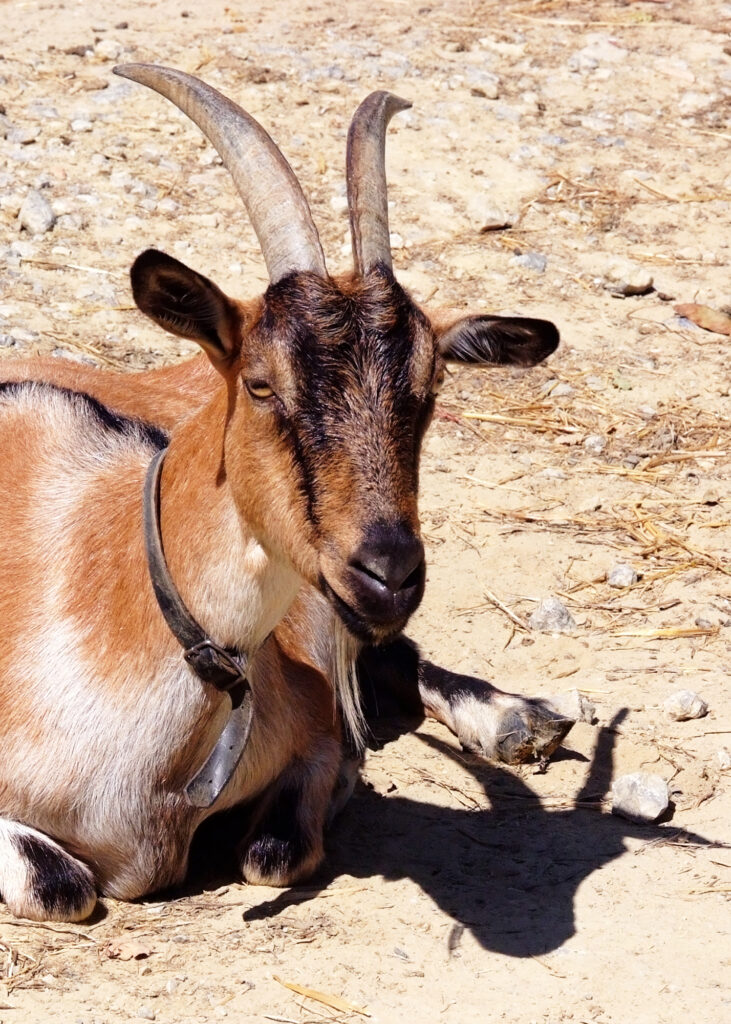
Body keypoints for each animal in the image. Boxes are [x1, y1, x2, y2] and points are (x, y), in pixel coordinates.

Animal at [0, 68, 569, 925]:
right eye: (262, 384)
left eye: (432, 387)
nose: (388, 572)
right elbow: (60, 885)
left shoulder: (313, 724)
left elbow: (275, 851)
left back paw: (517, 718)